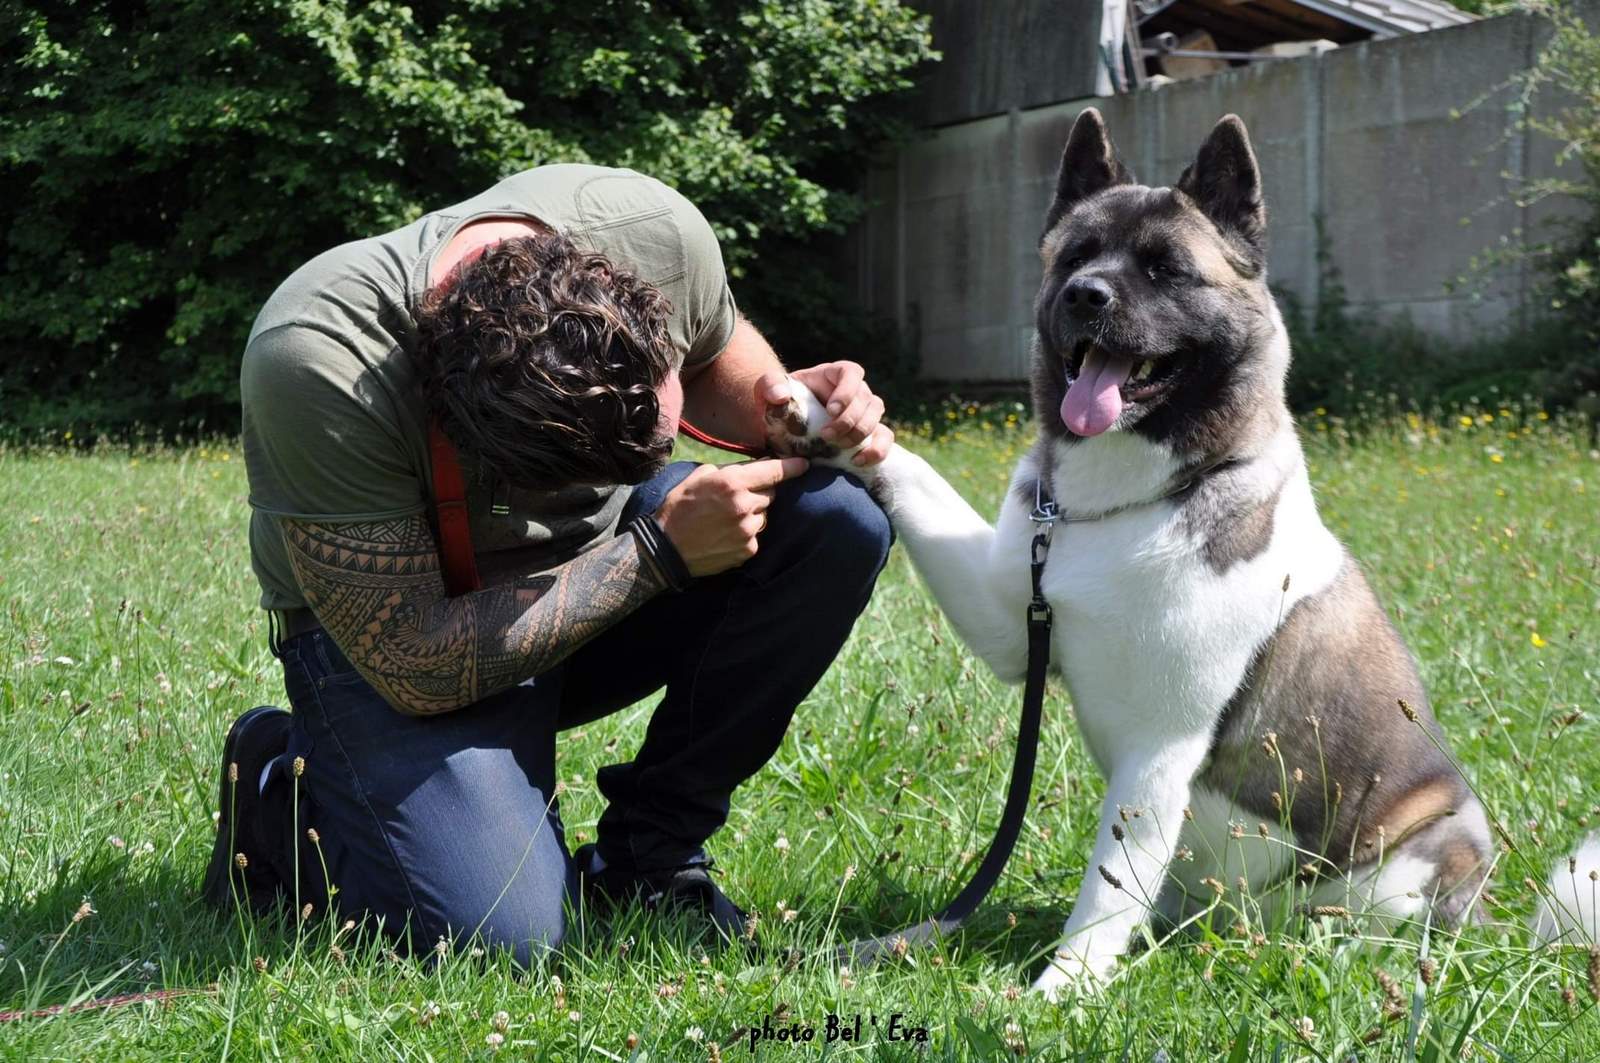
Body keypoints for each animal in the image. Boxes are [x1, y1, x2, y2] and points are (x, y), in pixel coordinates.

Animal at [768, 109, 1491, 998]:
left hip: (1429, 844)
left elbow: (1106, 888)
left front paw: (1061, 990)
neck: (1126, 497)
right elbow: (909, 470)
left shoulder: (1160, 746)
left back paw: (1342, 951)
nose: (1088, 294)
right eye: (1075, 257)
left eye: (1167, 269)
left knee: (1394, 928)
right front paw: (822, 411)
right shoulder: (1010, 621)